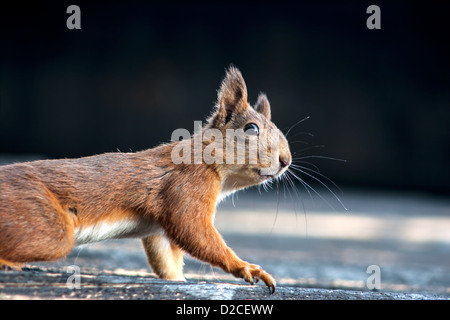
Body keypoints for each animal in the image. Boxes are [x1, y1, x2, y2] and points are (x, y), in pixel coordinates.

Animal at [0, 66, 292, 294]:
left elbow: (165, 256)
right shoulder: (187, 185)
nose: (286, 160)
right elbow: (194, 231)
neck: (205, 159)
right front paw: (247, 267)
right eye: (251, 129)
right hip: (43, 224)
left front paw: (180, 278)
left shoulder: (159, 229)